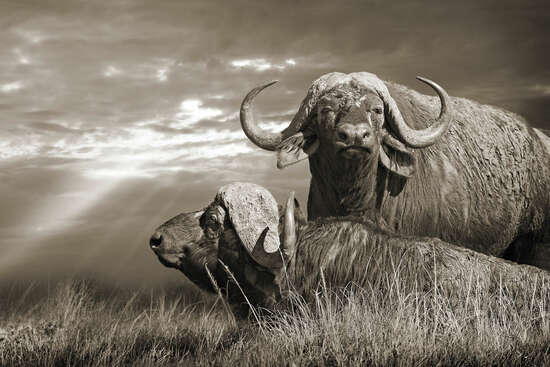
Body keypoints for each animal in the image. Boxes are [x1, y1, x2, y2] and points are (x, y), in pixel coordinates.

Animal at [240, 72, 550, 268]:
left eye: (376, 110)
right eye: (325, 110)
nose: (355, 136)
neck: (357, 199)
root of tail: (539, 140)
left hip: (538, 243)